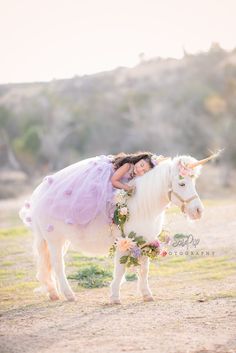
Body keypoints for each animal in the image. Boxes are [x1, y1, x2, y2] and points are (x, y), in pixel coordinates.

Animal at [19, 154, 205, 302]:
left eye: (194, 182)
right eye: (182, 184)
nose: (198, 211)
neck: (141, 205)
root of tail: (40, 193)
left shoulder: (146, 242)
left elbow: (144, 269)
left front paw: (146, 294)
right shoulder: (124, 242)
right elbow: (120, 269)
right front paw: (115, 296)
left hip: (62, 241)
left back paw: (54, 293)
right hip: (54, 240)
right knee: (58, 265)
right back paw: (68, 295)